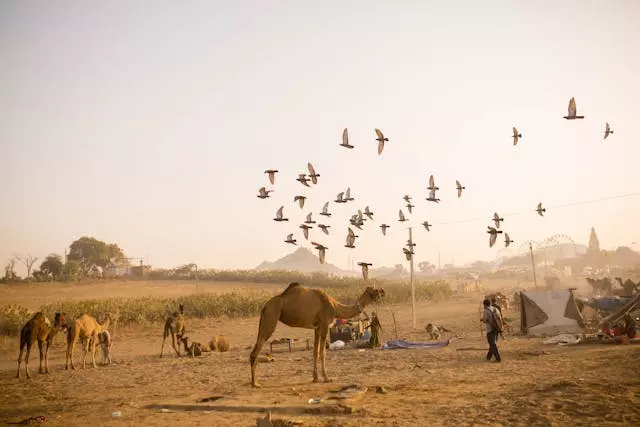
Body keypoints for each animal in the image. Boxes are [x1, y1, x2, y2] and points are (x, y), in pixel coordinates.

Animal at [249, 282, 384, 390]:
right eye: (375, 290)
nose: (383, 291)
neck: (335, 307)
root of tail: (265, 306)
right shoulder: (324, 325)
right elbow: (322, 352)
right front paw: (326, 378)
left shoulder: (317, 328)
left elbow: (315, 352)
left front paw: (315, 378)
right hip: (271, 316)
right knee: (255, 351)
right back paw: (255, 383)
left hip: (266, 318)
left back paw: (254, 382)